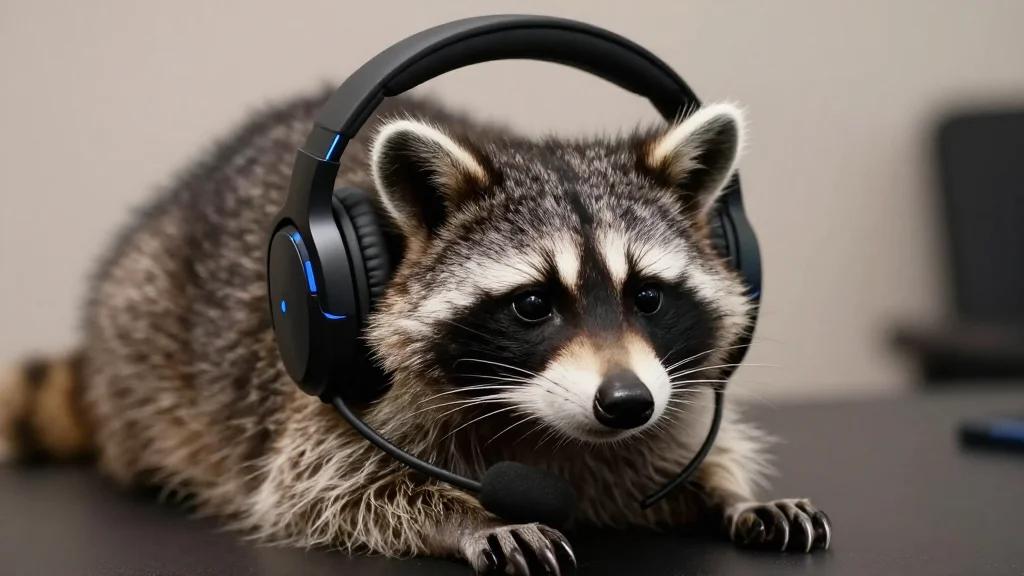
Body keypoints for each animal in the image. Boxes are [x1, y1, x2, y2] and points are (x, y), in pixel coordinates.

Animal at [0, 90, 830, 574]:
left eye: (649, 296)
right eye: (534, 305)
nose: (625, 403)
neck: (547, 425)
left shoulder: (664, 397)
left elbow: (677, 456)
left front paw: (729, 491)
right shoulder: (343, 407)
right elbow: (331, 494)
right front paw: (465, 517)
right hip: (143, 343)